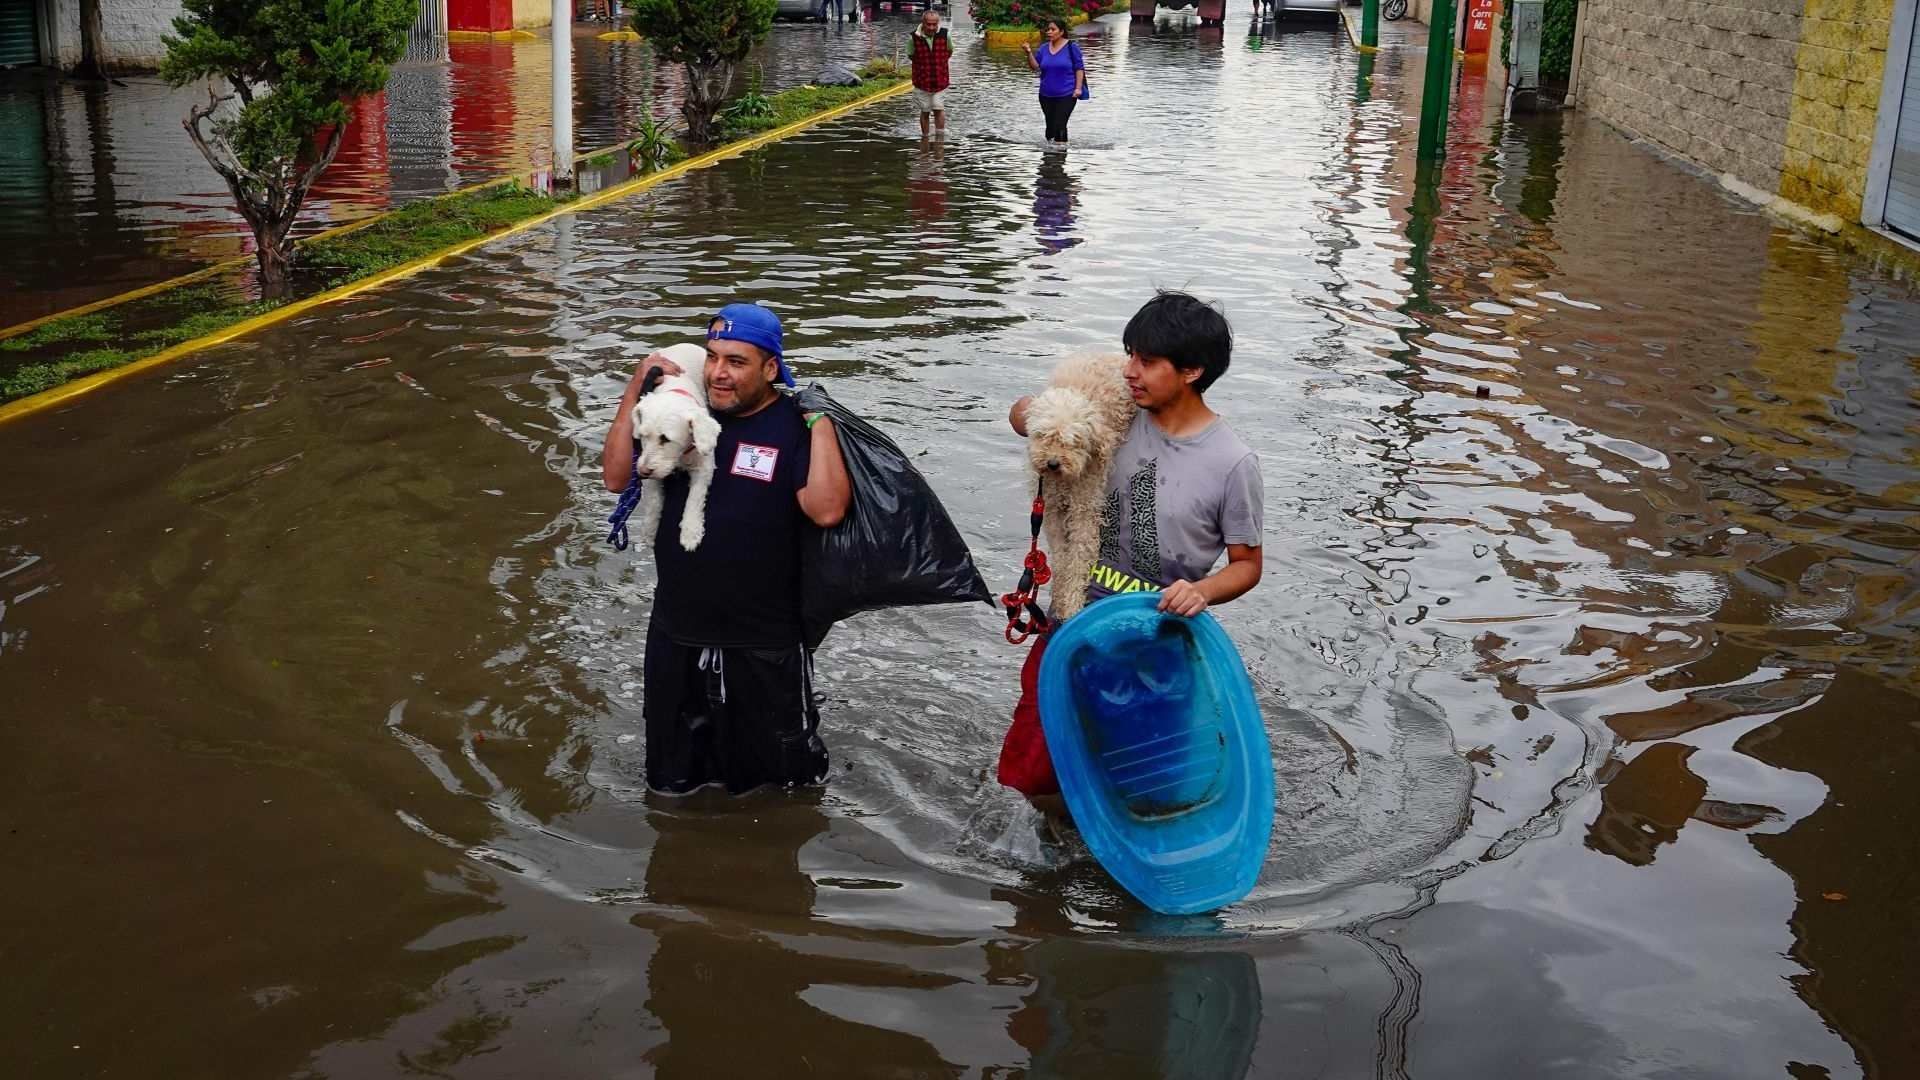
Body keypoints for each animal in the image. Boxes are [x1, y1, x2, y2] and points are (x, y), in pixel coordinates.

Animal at [633, 342, 721, 545]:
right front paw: (649, 530)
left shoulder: (704, 466)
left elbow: (695, 497)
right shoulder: (652, 475)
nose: (642, 471)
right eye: (643, 435)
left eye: (665, 438)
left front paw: (690, 533)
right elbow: (654, 500)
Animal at [1029, 353, 1128, 618]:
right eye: (1043, 435)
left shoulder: (1085, 506)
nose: (1052, 463)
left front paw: (1071, 605)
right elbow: (1061, 557)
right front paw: (1059, 593)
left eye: (1073, 442)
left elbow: (1079, 556)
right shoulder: (1051, 509)